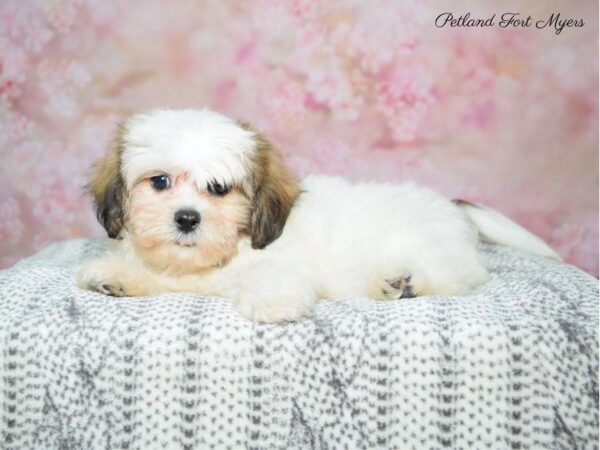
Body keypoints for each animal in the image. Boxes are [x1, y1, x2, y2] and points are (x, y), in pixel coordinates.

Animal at [77, 107, 560, 322]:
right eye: (159, 182)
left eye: (219, 189)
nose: (187, 218)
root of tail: (449, 206)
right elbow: (157, 276)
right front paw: (115, 277)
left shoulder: (279, 263)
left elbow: (274, 281)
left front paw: (270, 301)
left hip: (431, 248)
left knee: (452, 278)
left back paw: (396, 282)